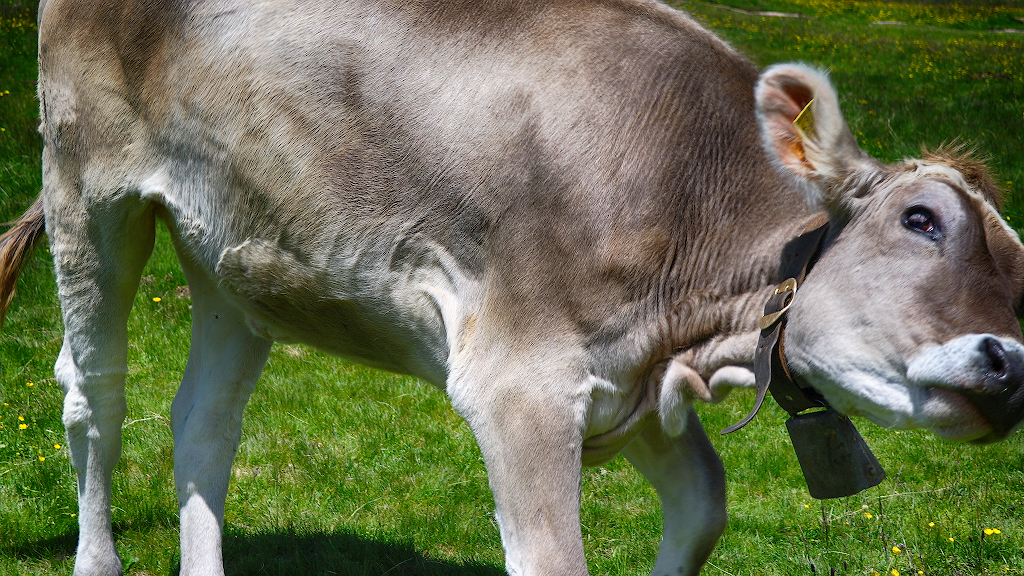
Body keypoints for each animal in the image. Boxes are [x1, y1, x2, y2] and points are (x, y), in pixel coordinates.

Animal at [2, 1, 1024, 573]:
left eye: (1018, 260)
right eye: (921, 220)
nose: (1010, 363)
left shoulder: (629, 379)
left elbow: (703, 507)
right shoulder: (519, 380)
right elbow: (554, 558)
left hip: (235, 251)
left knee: (203, 421)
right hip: (88, 186)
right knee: (93, 392)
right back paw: (98, 557)